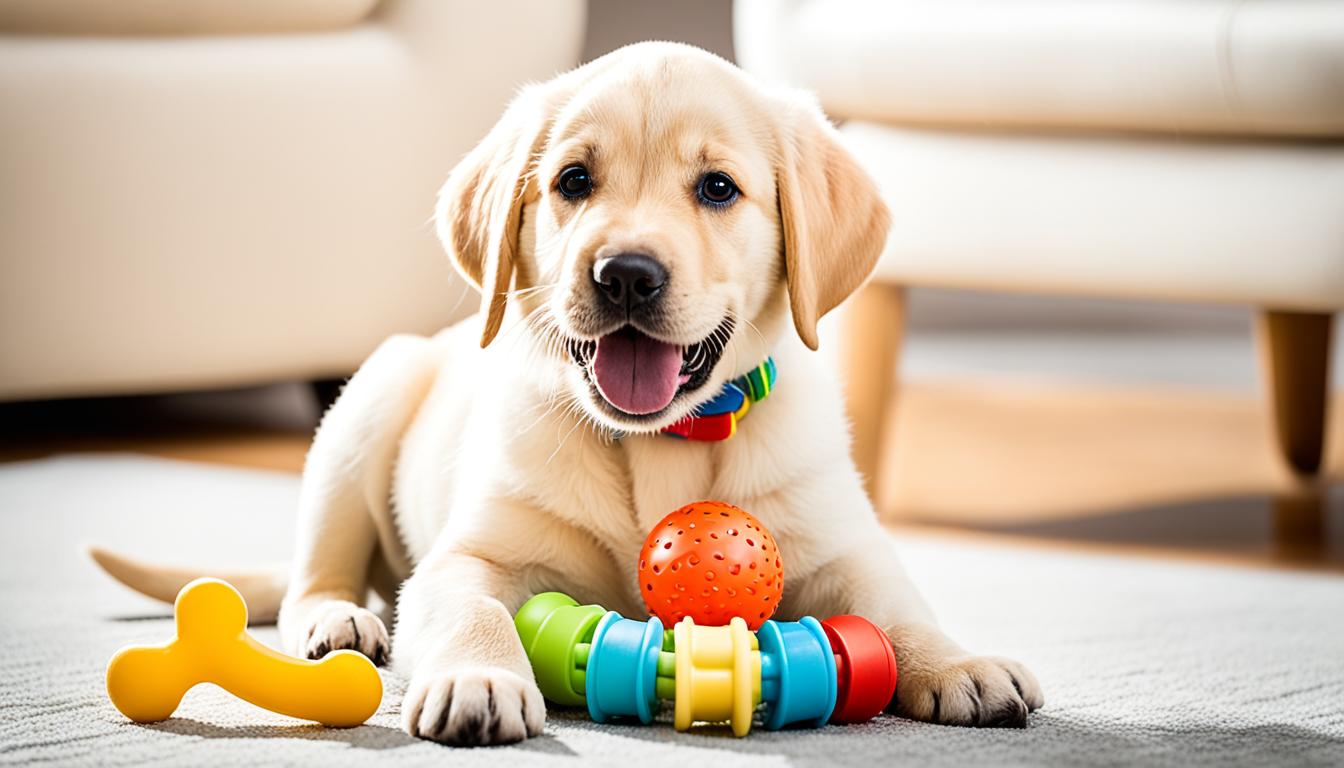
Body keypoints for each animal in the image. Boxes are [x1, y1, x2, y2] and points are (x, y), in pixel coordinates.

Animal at [102, 40, 1037, 747]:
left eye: (718, 189)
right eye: (575, 181)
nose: (625, 274)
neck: (665, 442)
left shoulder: (844, 547)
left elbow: (900, 608)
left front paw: (960, 663)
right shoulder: (468, 558)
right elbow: (472, 610)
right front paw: (479, 680)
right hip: (368, 401)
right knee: (315, 575)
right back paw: (340, 623)